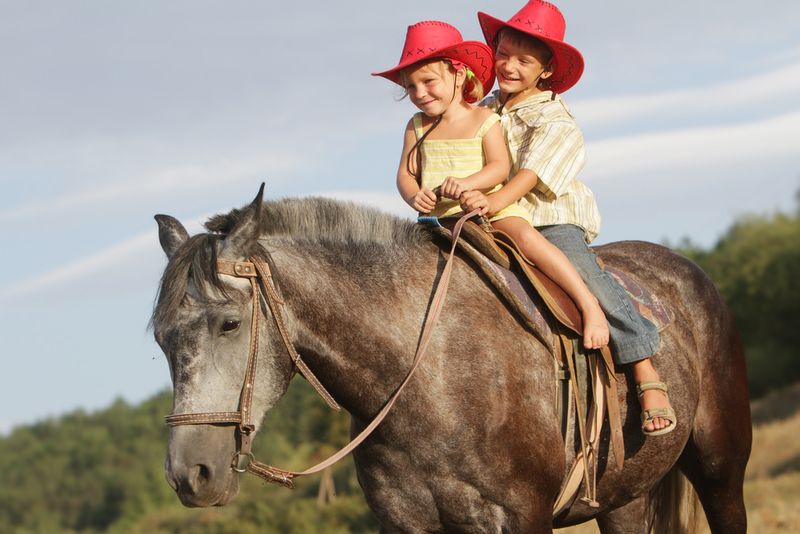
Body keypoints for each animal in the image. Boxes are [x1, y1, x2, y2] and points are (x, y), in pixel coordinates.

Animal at [153, 191, 752, 532]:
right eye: (160, 341)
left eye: (230, 323)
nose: (190, 474)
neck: (429, 378)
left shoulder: (522, 519)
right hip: (623, 497)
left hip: (721, 471)